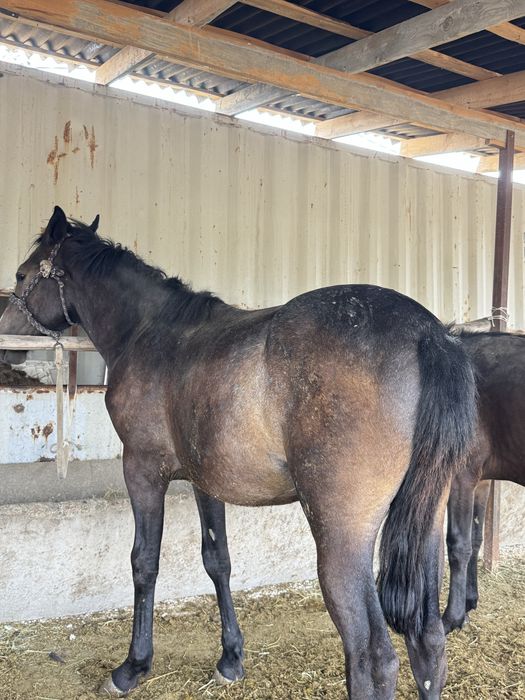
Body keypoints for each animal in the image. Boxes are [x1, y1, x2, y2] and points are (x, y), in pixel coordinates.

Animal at [0, 207, 476, 699]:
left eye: (21, 275)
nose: (7, 341)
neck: (151, 333)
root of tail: (428, 335)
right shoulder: (206, 480)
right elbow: (218, 561)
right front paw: (230, 658)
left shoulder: (142, 470)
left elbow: (144, 562)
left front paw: (133, 666)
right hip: (424, 524)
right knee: (429, 644)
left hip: (342, 536)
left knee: (374, 656)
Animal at [442, 330, 525, 634]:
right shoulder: (481, 480)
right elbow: (476, 539)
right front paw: (468, 603)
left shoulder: (460, 478)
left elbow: (459, 545)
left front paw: (451, 618)